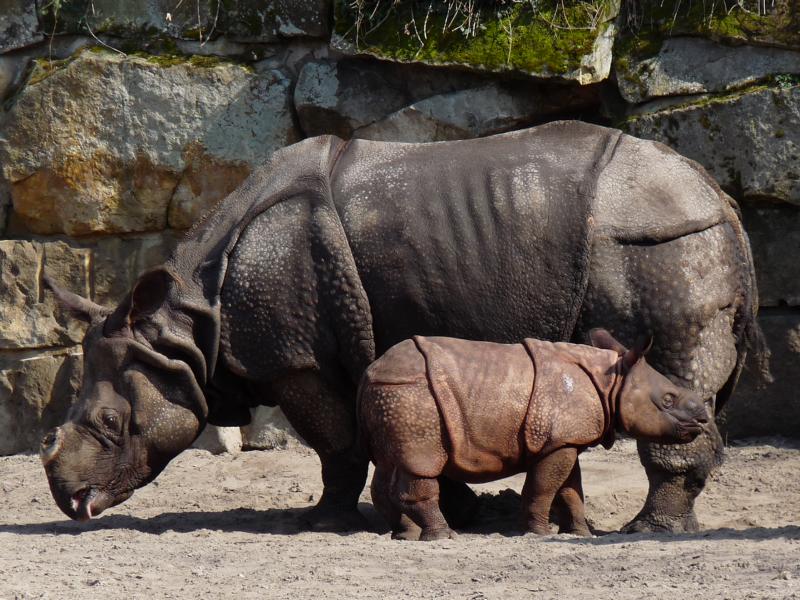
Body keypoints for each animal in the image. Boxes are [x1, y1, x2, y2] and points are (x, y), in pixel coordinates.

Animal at [360, 330, 709, 540]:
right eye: (668, 400)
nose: (703, 419)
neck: (613, 382)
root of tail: (371, 372)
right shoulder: (558, 440)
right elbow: (544, 486)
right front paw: (539, 533)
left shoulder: (566, 438)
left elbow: (571, 490)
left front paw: (580, 534)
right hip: (413, 396)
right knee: (420, 463)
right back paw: (443, 536)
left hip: (393, 397)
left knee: (388, 466)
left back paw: (404, 535)